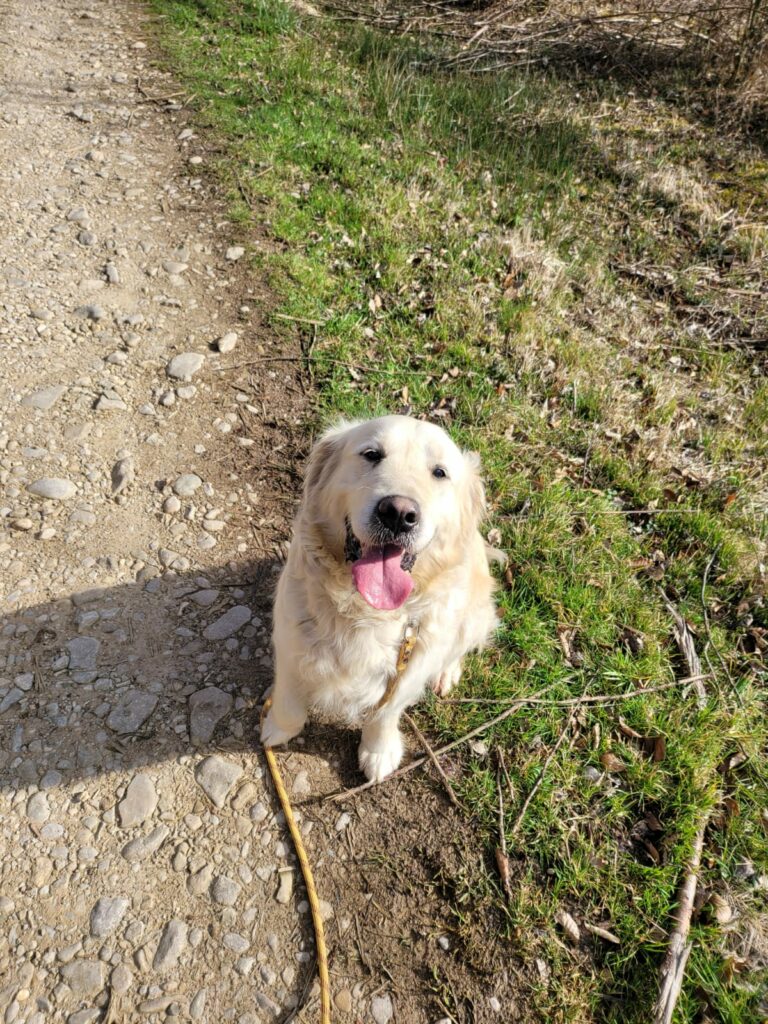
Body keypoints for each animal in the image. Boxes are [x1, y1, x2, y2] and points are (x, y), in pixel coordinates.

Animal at [260, 411, 499, 778]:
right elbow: (288, 698)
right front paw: (278, 729)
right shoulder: (290, 641)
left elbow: (385, 713)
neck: (364, 609)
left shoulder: (407, 668)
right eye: (372, 454)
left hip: (474, 613)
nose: (398, 513)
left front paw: (378, 752)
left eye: (440, 472)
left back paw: (446, 673)